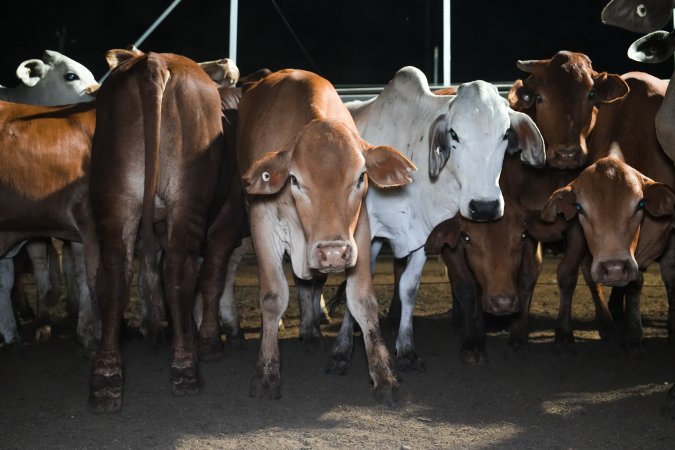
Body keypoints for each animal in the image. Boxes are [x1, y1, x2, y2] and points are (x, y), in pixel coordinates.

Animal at [86, 48, 224, 412]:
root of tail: (154, 62)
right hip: (189, 199)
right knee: (178, 272)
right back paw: (186, 369)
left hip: (114, 195)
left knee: (114, 274)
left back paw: (106, 380)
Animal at [238, 67, 418, 404]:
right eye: (294, 179)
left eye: (360, 177)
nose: (333, 253)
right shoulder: (262, 224)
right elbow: (273, 297)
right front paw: (266, 373)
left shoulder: (358, 231)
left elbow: (362, 300)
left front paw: (384, 375)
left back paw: (311, 330)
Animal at [324, 67, 548, 374]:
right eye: (454, 133)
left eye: (505, 134)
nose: (484, 207)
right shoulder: (359, 232)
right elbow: (353, 288)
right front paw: (341, 351)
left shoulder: (422, 237)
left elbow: (408, 288)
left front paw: (406, 349)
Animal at [508, 50, 675, 348]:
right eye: (539, 97)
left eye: (591, 94)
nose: (567, 154)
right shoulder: (531, 223)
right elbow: (530, 275)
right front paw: (519, 329)